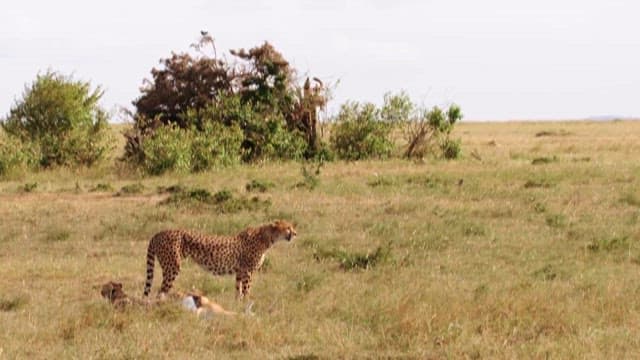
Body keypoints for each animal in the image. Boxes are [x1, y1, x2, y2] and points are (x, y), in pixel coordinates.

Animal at [144, 221, 296, 300]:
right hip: (172, 267)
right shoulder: (247, 272)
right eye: (288, 227)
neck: (267, 238)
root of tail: (158, 233)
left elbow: (238, 291)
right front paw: (247, 306)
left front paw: (238, 306)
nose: (295, 233)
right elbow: (246, 290)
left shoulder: (240, 272)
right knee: (160, 292)